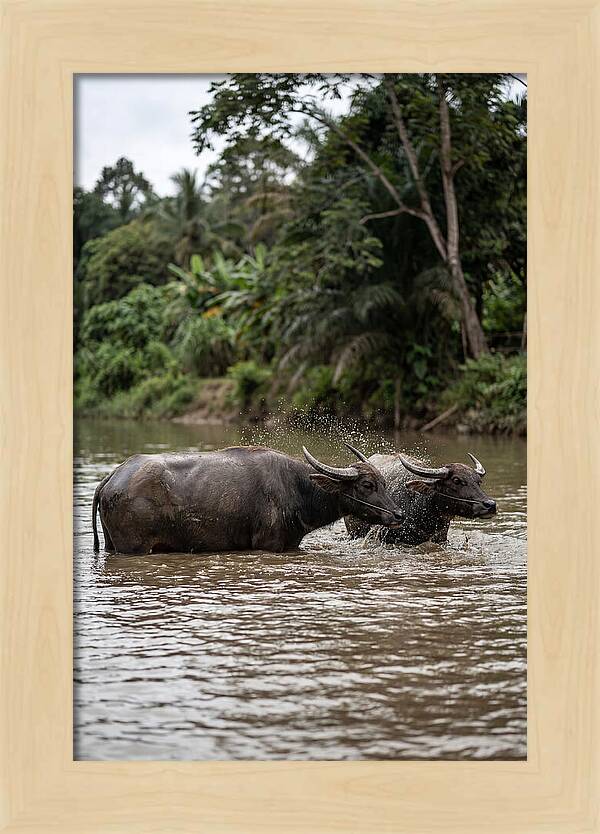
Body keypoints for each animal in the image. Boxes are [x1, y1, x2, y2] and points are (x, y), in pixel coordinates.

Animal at [92, 443, 403, 555]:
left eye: (384, 483)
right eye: (367, 484)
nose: (398, 514)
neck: (297, 488)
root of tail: (113, 477)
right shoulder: (268, 544)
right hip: (134, 548)